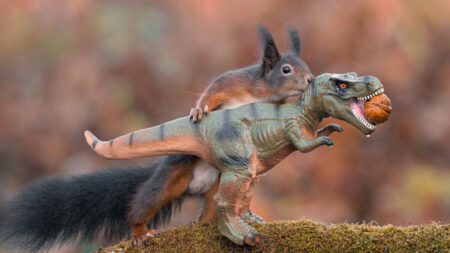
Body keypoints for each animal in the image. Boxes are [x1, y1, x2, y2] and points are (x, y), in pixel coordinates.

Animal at [0, 24, 314, 251]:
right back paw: (139, 233)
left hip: (218, 184)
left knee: (214, 209)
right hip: (171, 178)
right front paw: (199, 108)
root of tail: (197, 184)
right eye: (286, 69)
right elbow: (214, 89)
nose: (311, 80)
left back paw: (213, 224)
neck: (263, 95)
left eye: (306, 66)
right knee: (144, 203)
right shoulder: (235, 82)